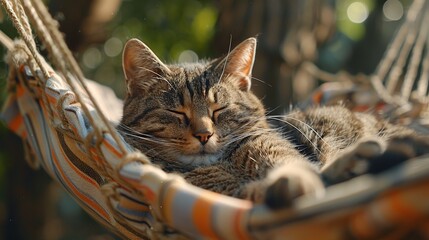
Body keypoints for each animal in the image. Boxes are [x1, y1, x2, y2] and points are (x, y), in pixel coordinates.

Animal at [117, 37, 428, 208]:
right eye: (177, 112)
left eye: (220, 109)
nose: (204, 135)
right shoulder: (225, 191)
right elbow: (250, 191)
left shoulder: (273, 149)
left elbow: (294, 166)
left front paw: (294, 182)